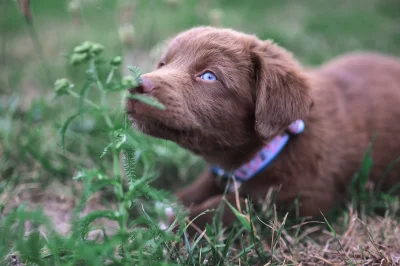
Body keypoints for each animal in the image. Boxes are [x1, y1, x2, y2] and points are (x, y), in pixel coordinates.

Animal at [126, 25, 400, 233]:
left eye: (209, 76)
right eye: (162, 64)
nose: (134, 85)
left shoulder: (303, 201)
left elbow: (236, 207)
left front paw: (171, 225)